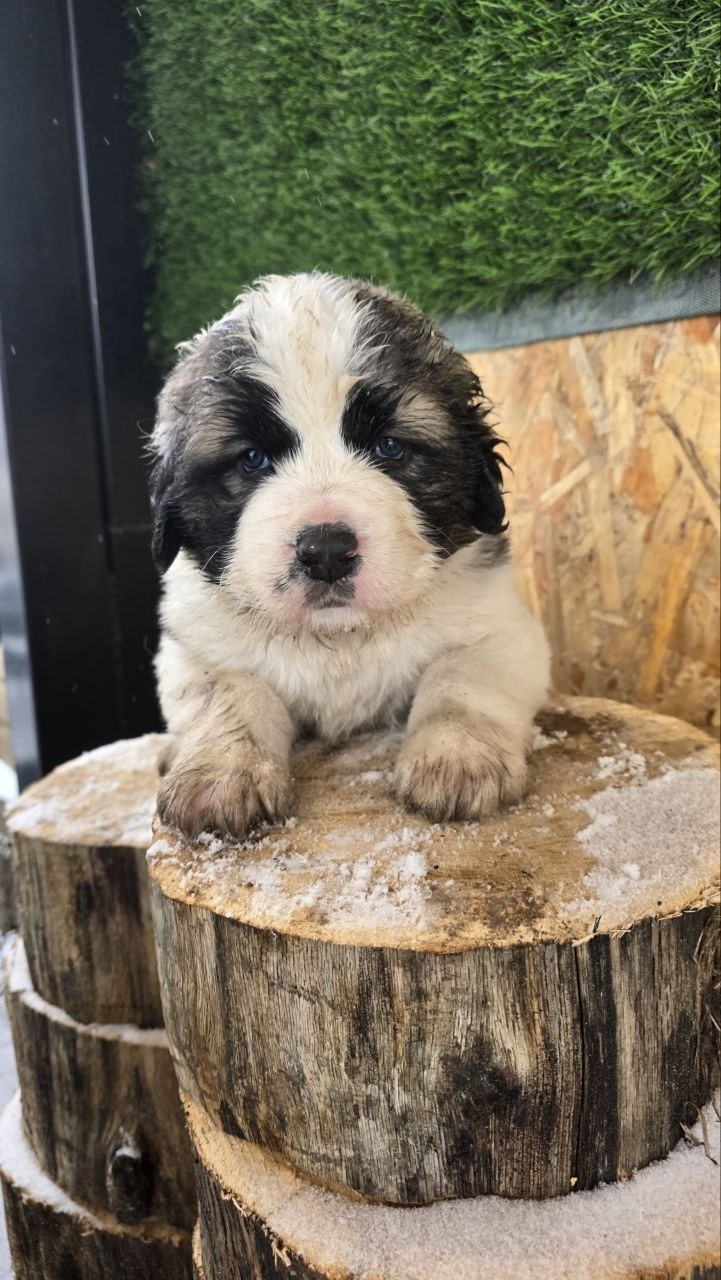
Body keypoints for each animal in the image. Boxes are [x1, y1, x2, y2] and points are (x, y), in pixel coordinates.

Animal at [149, 273, 550, 839]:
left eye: (390, 447)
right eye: (252, 459)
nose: (326, 552)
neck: (339, 638)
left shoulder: (502, 628)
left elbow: (461, 678)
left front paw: (458, 757)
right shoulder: (195, 647)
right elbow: (230, 694)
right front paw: (222, 774)